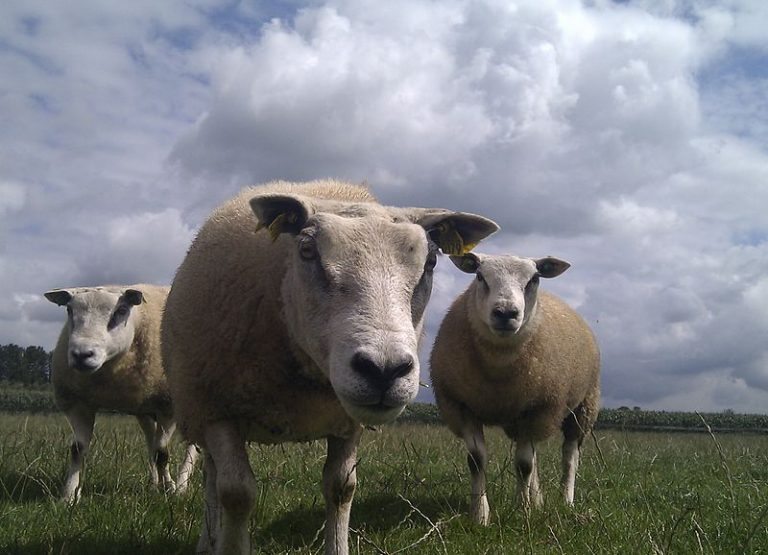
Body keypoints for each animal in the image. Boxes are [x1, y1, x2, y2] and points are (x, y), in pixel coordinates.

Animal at [45, 284, 200, 506]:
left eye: (121, 311)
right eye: (69, 310)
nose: (82, 355)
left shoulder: (167, 406)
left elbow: (163, 453)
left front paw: (169, 491)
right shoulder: (79, 405)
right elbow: (77, 450)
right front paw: (69, 496)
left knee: (190, 446)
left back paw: (180, 485)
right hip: (144, 409)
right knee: (151, 442)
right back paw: (155, 484)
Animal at [161, 180, 498, 552]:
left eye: (431, 262)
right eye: (307, 251)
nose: (384, 370)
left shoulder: (346, 422)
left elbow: (340, 488)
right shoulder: (219, 411)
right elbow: (236, 493)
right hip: (198, 409)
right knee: (212, 477)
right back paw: (209, 540)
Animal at [432, 254, 600, 524]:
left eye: (534, 279)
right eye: (480, 276)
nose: (505, 313)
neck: (498, 369)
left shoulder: (539, 408)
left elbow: (523, 465)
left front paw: (523, 512)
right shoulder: (462, 406)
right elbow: (477, 460)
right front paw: (480, 515)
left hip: (584, 408)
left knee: (569, 457)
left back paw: (566, 500)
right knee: (536, 457)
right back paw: (538, 500)